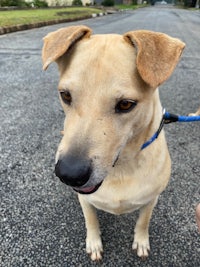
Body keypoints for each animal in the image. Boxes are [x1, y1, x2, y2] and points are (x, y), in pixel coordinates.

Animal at [41, 25, 184, 262]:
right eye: (65, 95)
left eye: (126, 104)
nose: (69, 174)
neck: (121, 168)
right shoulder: (85, 200)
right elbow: (90, 219)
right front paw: (94, 242)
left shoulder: (151, 199)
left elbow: (143, 221)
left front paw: (141, 241)